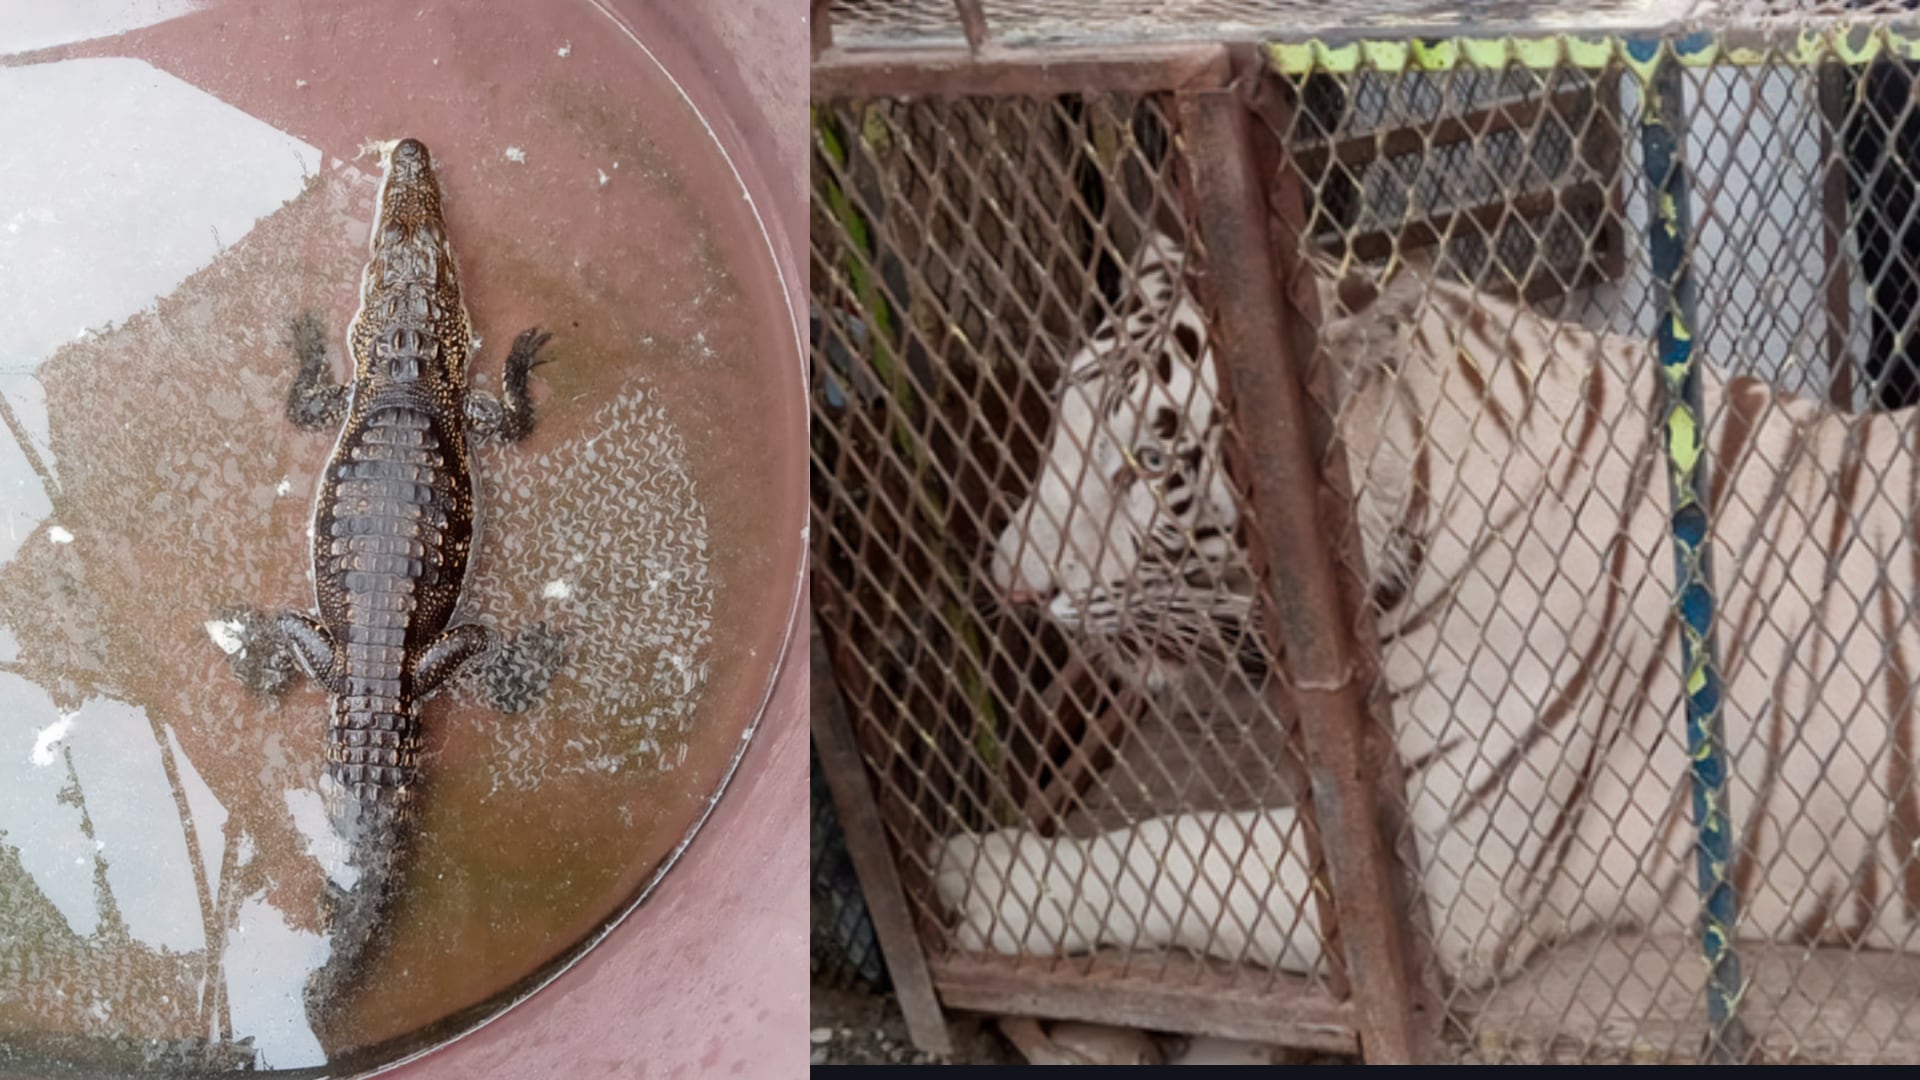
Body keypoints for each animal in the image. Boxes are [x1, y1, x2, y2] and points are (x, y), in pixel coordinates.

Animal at [936, 230, 1920, 990]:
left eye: (1147, 462)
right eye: (1059, 418)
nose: (1007, 584)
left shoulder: (1446, 881)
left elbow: (1178, 854)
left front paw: (983, 882)